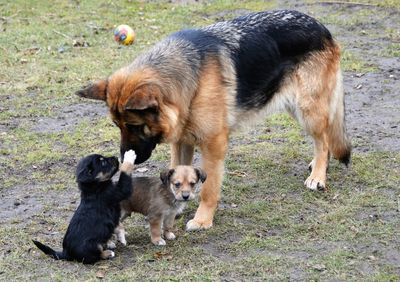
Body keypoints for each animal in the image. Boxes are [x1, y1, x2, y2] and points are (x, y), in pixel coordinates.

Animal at [76, 10, 352, 231]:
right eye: (117, 126)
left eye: (134, 126)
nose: (123, 158)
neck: (190, 80)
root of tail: (321, 26)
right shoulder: (182, 141)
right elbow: (175, 173)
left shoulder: (213, 145)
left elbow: (208, 190)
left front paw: (202, 220)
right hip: (293, 106)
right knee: (325, 136)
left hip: (308, 110)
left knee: (323, 140)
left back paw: (318, 175)